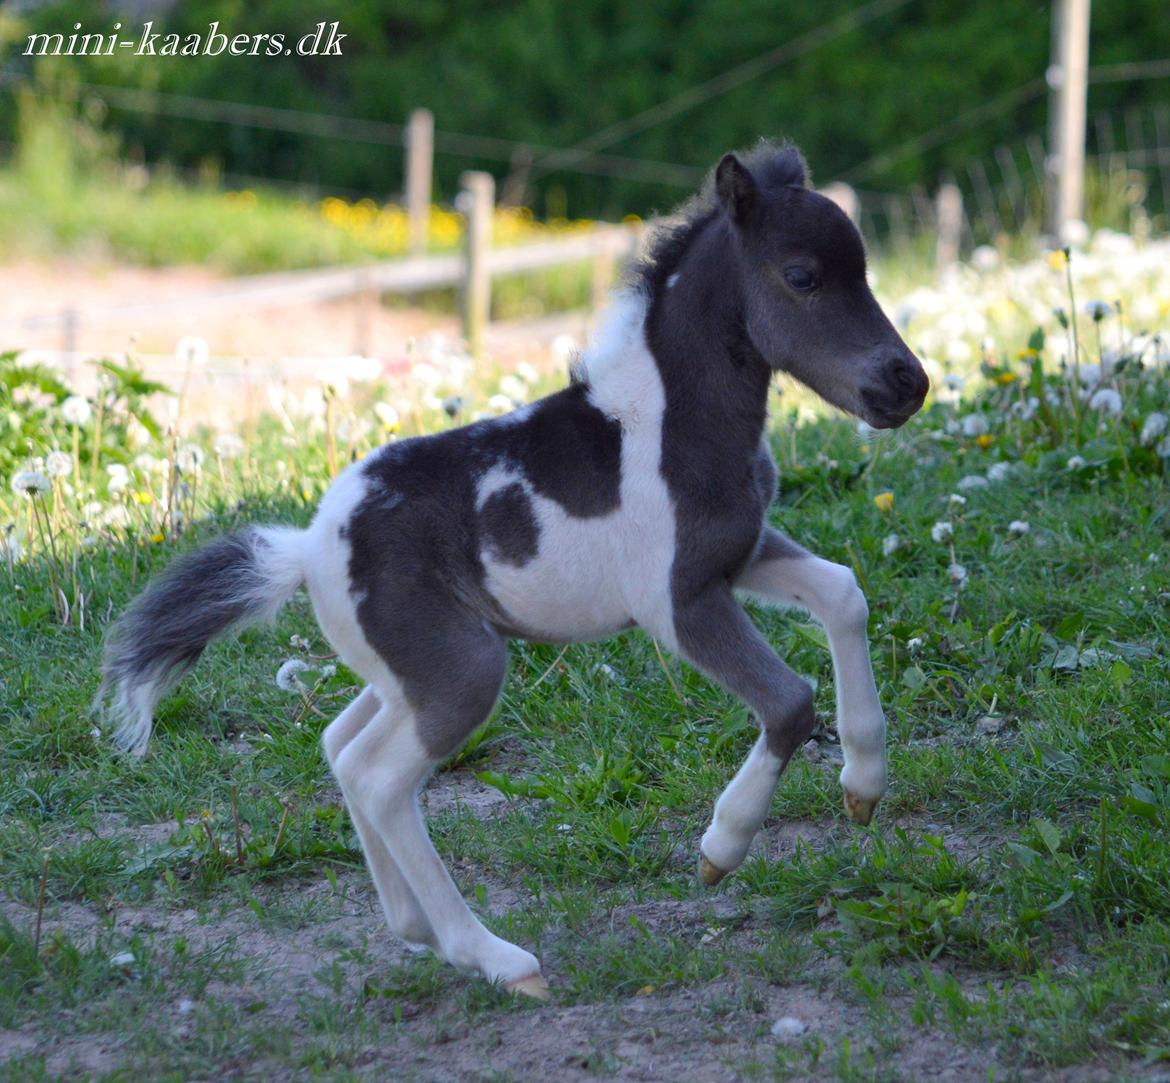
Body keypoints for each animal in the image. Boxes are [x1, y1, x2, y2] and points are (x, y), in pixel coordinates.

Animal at [100, 143, 926, 1001]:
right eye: (802, 275)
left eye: (863, 270)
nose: (907, 383)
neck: (669, 422)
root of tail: (307, 547)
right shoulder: (681, 604)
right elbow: (791, 703)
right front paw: (719, 850)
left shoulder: (741, 555)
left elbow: (845, 595)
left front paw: (864, 786)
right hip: (465, 668)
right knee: (383, 781)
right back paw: (494, 956)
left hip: (415, 669)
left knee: (344, 748)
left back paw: (415, 926)